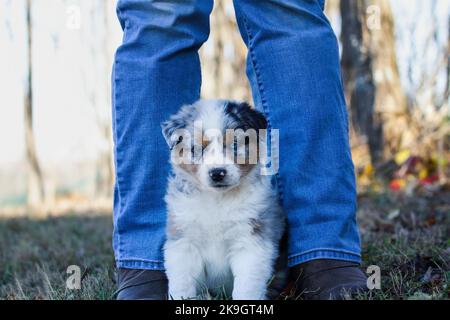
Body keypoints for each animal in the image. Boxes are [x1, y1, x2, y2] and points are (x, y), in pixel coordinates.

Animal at [162, 100, 286, 300]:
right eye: (196, 148)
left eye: (235, 144)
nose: (217, 173)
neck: (218, 199)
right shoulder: (183, 241)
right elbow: (183, 282)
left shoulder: (250, 241)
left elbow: (247, 286)